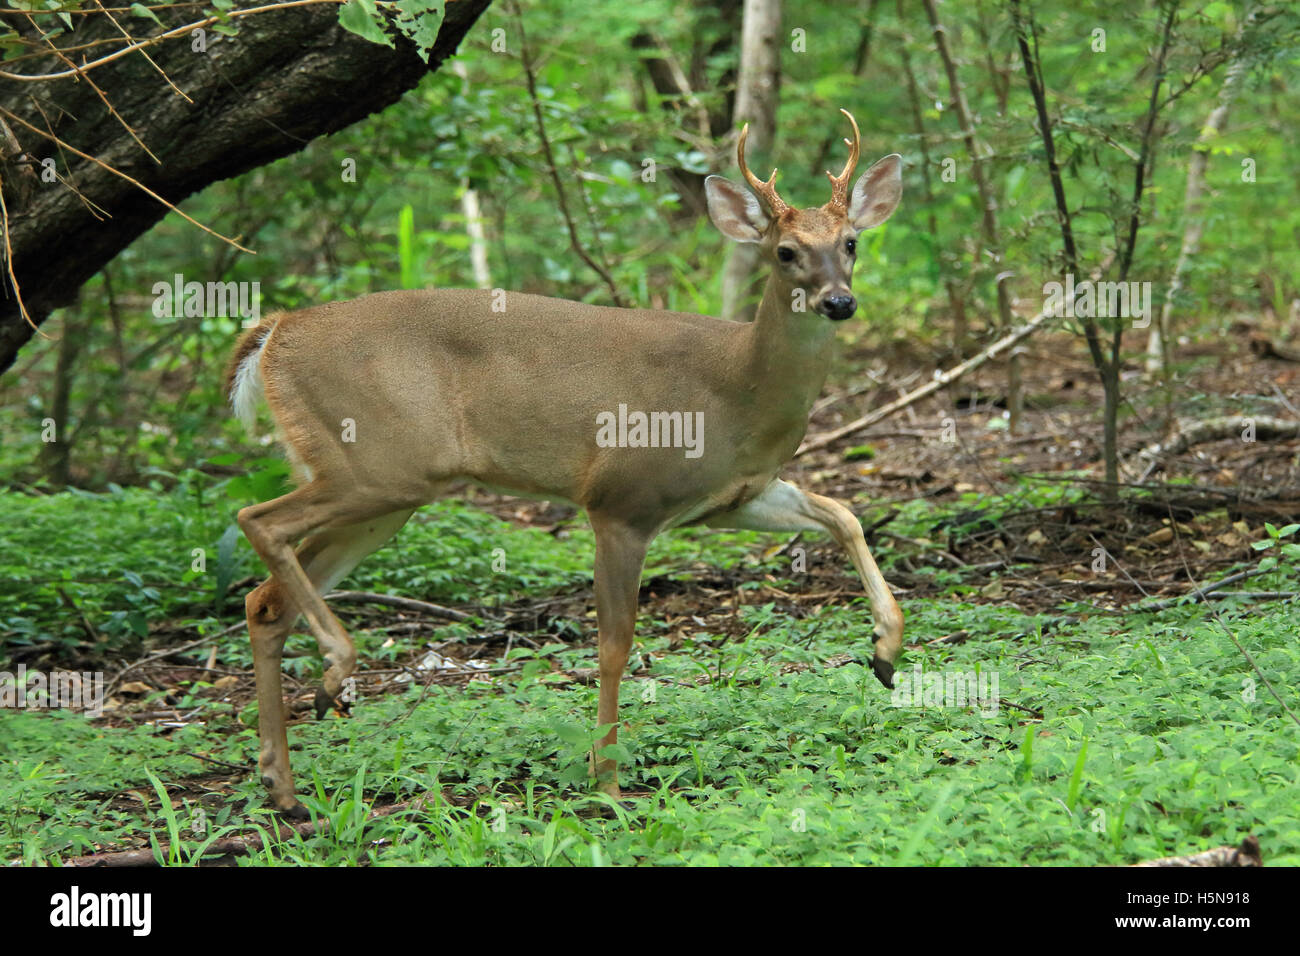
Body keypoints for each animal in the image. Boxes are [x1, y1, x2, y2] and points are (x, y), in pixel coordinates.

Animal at [226, 110, 904, 816]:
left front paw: (885, 651)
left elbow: (843, 514)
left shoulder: (731, 499)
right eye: (785, 251)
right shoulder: (620, 500)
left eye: (852, 242)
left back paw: (284, 787)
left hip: (382, 493)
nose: (838, 302)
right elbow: (614, 645)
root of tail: (275, 332)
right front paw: (607, 783)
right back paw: (334, 674)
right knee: (257, 519)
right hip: (374, 466)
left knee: (265, 601)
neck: (737, 389)